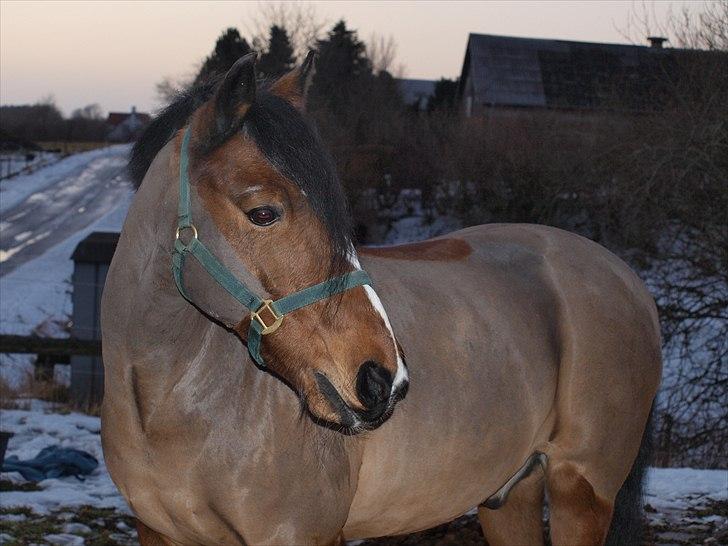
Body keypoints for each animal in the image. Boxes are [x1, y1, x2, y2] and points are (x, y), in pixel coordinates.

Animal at [99, 52, 664, 544]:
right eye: (263, 212)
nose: (383, 380)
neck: (170, 409)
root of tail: (628, 278)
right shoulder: (158, 533)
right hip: (510, 497)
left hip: (580, 490)